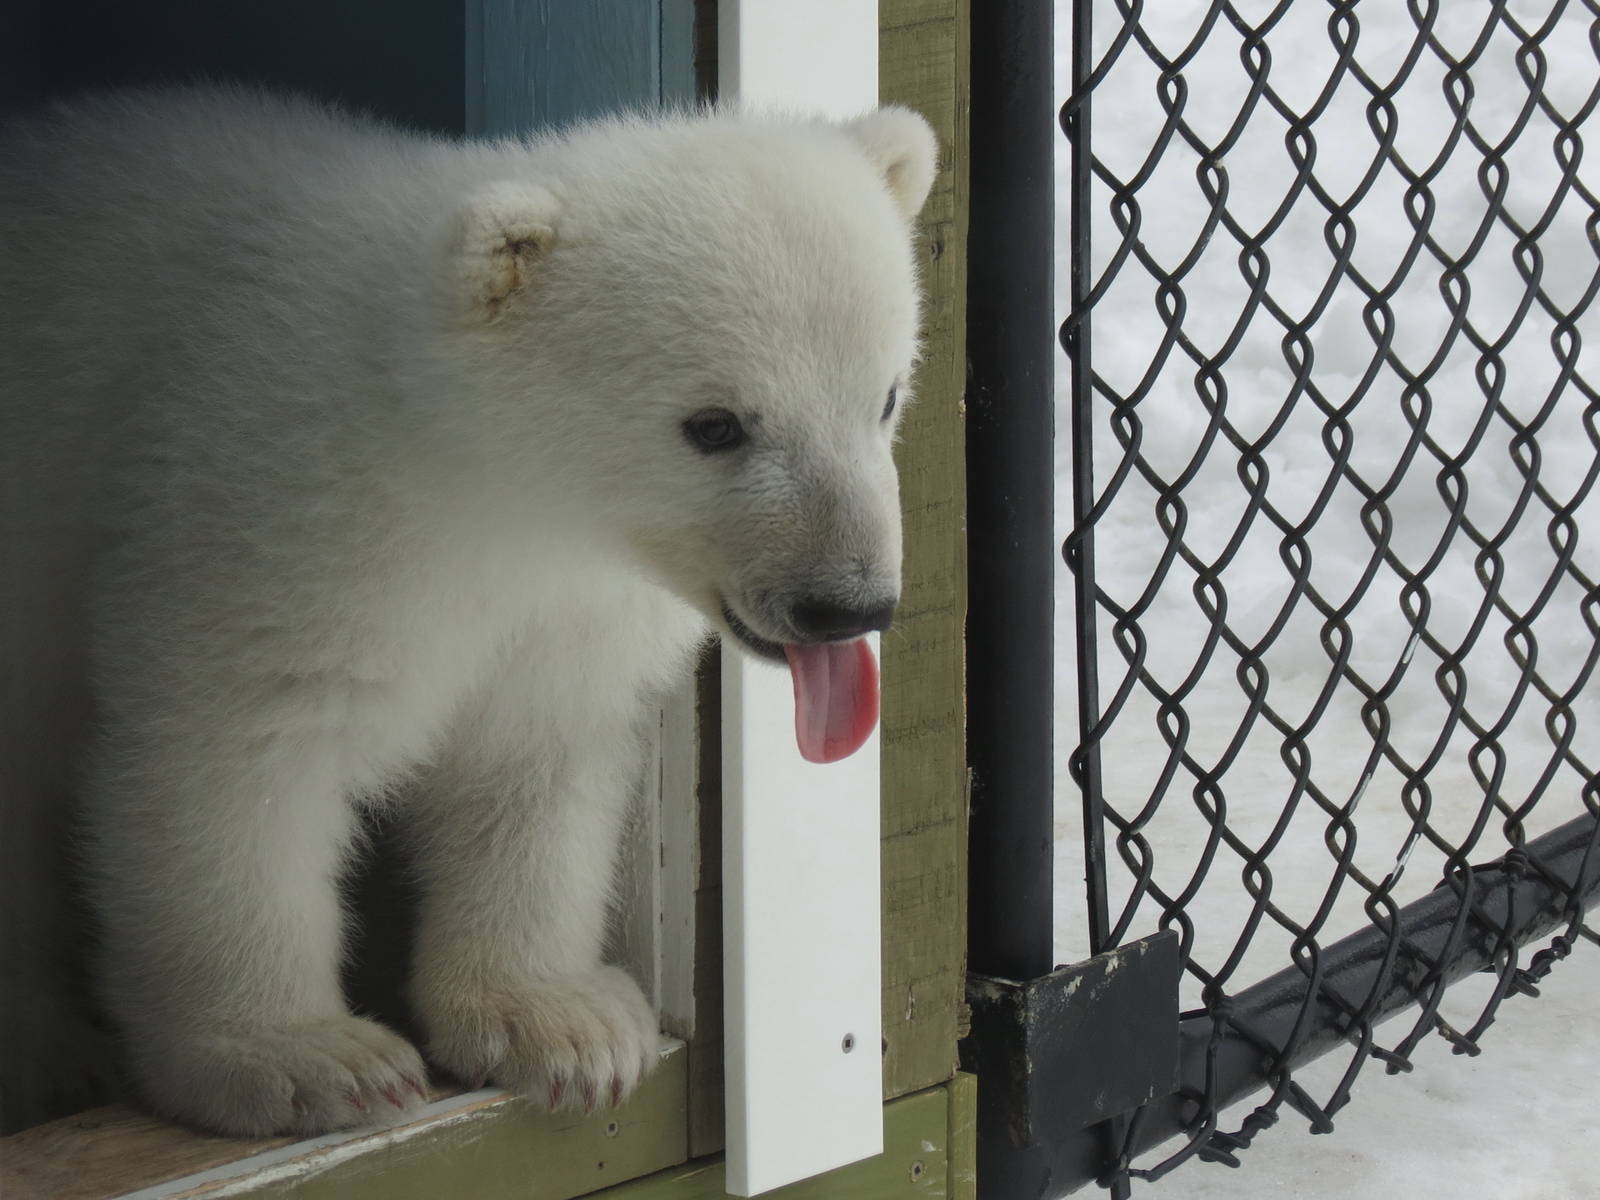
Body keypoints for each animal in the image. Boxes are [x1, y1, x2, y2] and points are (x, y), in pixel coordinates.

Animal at [0, 88, 935, 1136]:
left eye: (885, 395)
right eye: (715, 425)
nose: (846, 605)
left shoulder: (569, 604)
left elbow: (530, 763)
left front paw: (562, 1025)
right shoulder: (274, 510)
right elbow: (236, 750)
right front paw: (307, 1059)